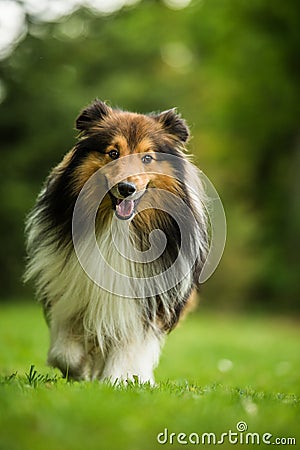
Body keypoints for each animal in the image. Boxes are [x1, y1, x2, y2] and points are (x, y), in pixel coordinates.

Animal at [24, 101, 209, 384]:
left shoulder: (142, 303)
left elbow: (129, 347)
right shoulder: (70, 290)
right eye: (113, 153)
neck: (118, 228)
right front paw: (79, 370)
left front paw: (118, 382)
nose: (126, 188)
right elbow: (63, 351)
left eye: (147, 158)